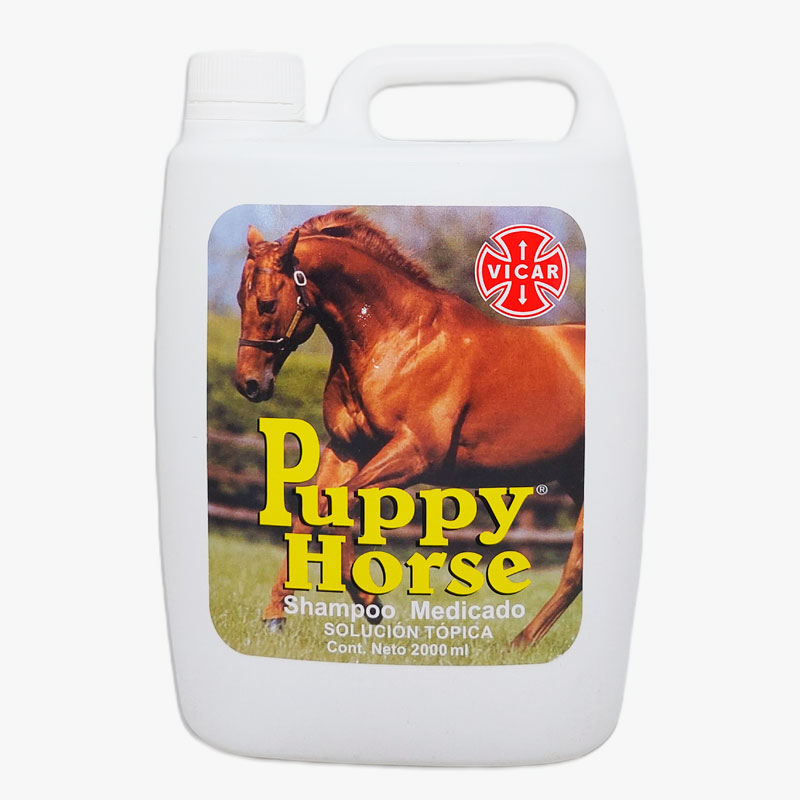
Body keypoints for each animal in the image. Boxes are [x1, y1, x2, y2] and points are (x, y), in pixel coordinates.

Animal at [234, 209, 585, 648]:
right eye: (238, 298)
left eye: (266, 304)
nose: (249, 384)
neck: (399, 340)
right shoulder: (347, 448)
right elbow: (311, 512)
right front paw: (275, 616)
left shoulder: (414, 455)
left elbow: (340, 508)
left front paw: (369, 600)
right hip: (573, 478)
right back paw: (521, 643)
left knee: (575, 565)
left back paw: (520, 643)